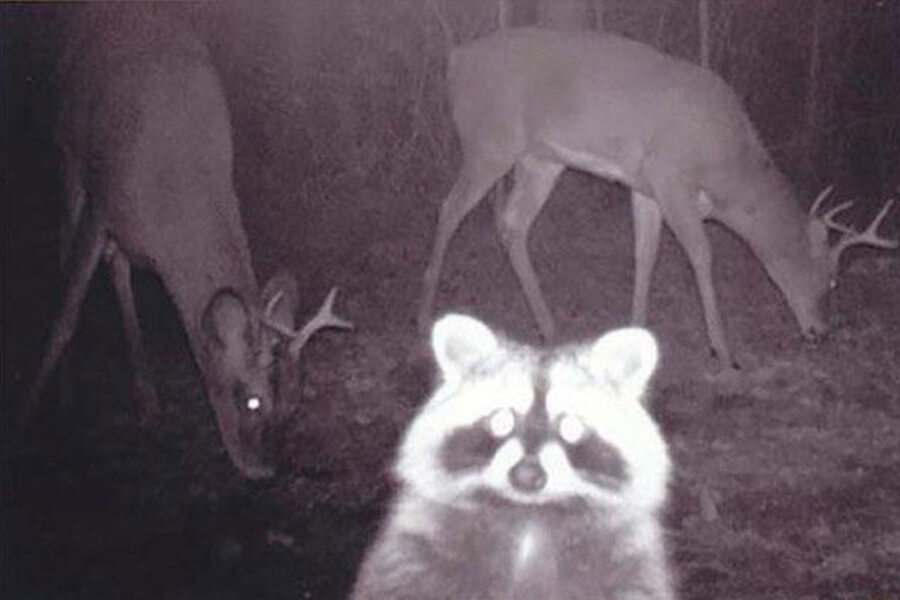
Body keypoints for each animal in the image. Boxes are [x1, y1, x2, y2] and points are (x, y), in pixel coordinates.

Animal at [351, 314, 675, 600]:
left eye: (570, 427)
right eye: (501, 420)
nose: (527, 476)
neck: (528, 513)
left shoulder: (629, 566)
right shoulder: (414, 553)